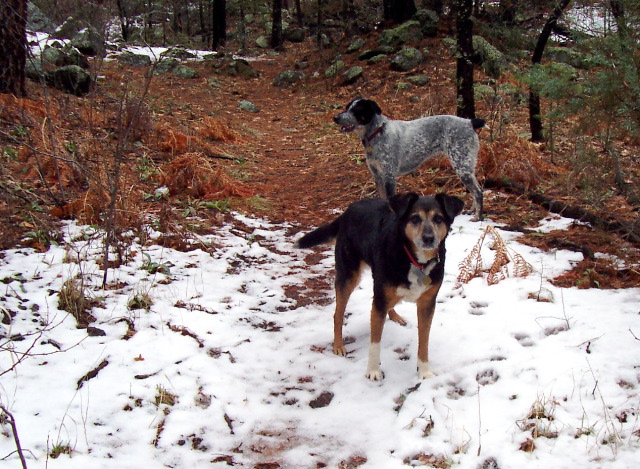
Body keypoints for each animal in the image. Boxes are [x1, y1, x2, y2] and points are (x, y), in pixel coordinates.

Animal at [298, 192, 462, 378]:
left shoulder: (427, 304)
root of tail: (349, 209)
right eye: (414, 218)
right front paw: (373, 371)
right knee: (338, 314)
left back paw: (395, 316)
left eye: (438, 219)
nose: (428, 238)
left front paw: (424, 370)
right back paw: (338, 345)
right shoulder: (378, 303)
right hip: (348, 277)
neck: (413, 259)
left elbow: (424, 340)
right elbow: (375, 341)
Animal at [336, 97, 484, 221]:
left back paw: (478, 217)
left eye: (357, 110)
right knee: (476, 190)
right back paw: (472, 211)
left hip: (462, 166)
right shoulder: (377, 176)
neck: (378, 133)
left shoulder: (389, 177)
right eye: (347, 107)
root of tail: (469, 122)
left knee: (478, 192)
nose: (335, 117)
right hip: (467, 166)